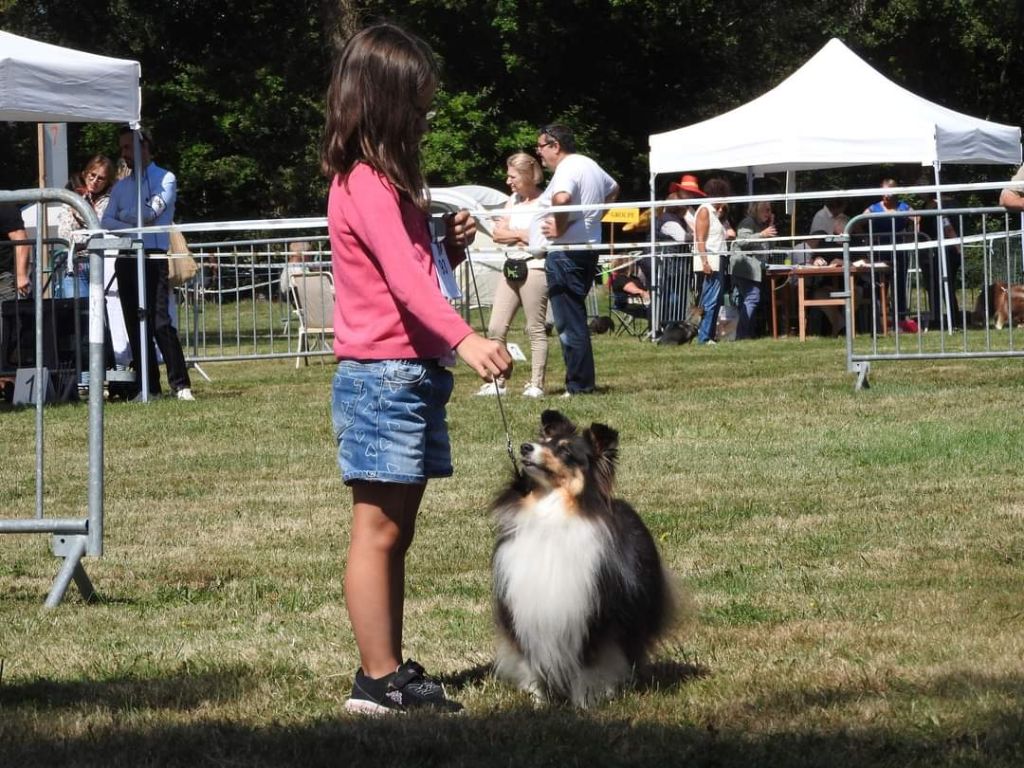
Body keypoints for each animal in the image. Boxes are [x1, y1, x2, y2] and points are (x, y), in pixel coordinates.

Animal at [491, 409, 675, 708]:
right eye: (544, 440)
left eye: (566, 451)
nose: (525, 447)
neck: (552, 512)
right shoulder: (521, 612)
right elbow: (532, 667)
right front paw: (539, 704)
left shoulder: (592, 618)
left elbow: (588, 668)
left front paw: (584, 705)